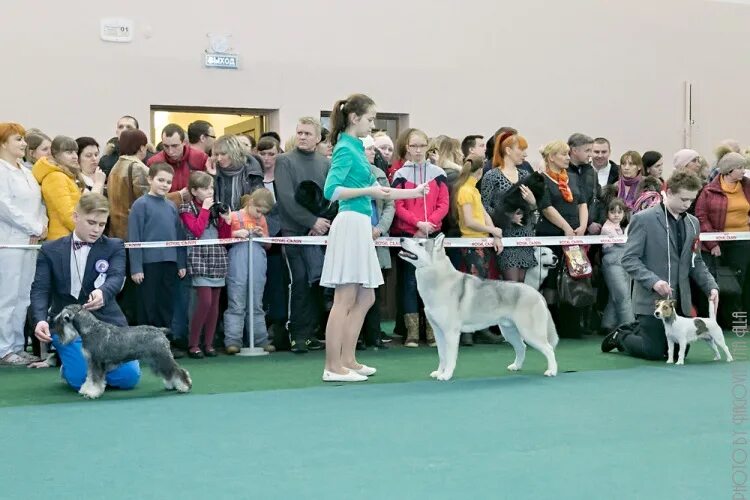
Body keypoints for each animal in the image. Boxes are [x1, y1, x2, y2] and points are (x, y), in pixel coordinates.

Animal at [54, 304, 192, 398]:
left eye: (62, 318)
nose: (54, 325)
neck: (90, 329)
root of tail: (160, 331)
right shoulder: (91, 364)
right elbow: (90, 377)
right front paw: (86, 389)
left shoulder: (96, 363)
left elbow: (95, 379)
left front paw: (92, 392)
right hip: (156, 361)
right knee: (169, 372)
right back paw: (172, 385)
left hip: (162, 357)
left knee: (179, 371)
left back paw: (185, 386)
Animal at [400, 234, 560, 378]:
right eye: (415, 238)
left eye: (420, 244)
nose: (401, 239)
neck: (439, 281)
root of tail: (537, 293)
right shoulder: (438, 331)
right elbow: (442, 356)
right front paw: (439, 372)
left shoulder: (451, 332)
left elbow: (450, 357)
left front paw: (446, 375)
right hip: (509, 331)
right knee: (522, 347)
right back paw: (516, 366)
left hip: (530, 332)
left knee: (549, 349)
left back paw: (552, 371)